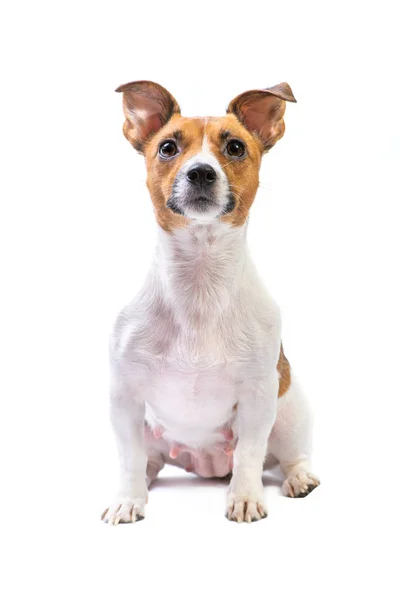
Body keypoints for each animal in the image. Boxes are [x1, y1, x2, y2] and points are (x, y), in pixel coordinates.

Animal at [101, 81, 320, 524]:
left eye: (235, 147)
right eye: (167, 147)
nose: (200, 171)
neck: (200, 279)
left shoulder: (258, 396)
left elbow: (250, 453)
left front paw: (246, 497)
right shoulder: (125, 395)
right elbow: (129, 457)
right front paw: (128, 499)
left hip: (288, 410)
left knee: (289, 455)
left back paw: (298, 478)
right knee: (148, 461)